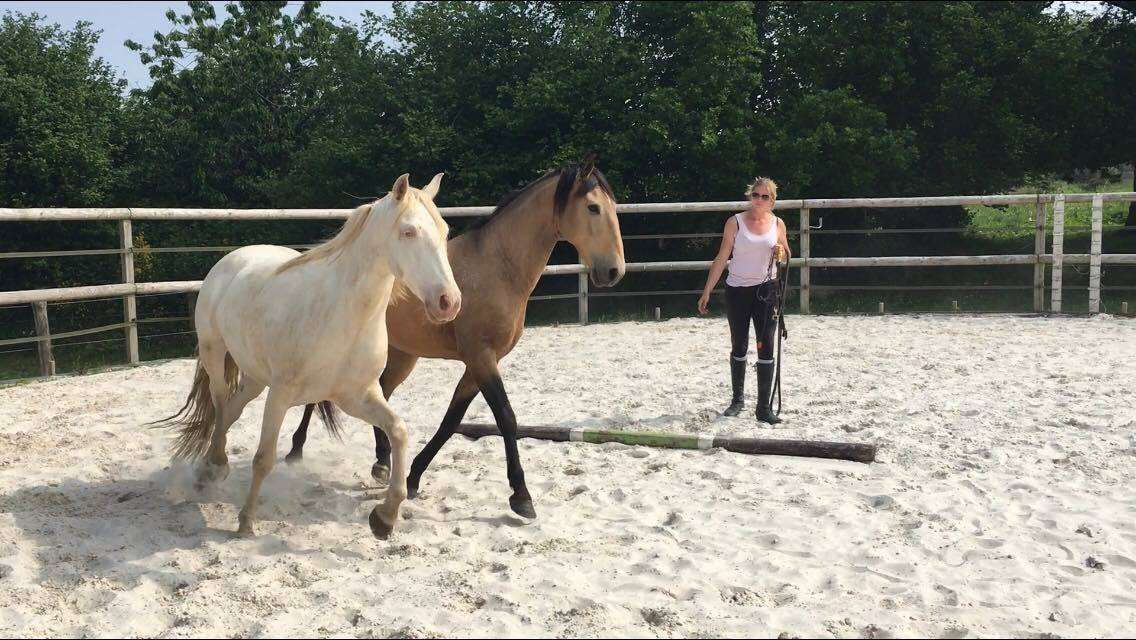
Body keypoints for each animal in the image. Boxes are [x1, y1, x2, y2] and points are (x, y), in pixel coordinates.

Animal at [153, 173, 460, 539]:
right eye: (409, 231)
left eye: (444, 231)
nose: (449, 302)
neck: (343, 316)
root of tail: (233, 258)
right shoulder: (281, 395)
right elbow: (263, 458)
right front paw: (245, 522)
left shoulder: (357, 397)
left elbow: (398, 431)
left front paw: (384, 517)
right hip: (216, 355)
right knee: (219, 404)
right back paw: (211, 468)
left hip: (255, 378)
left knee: (231, 409)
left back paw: (213, 467)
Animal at [285, 157, 625, 519]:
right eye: (592, 207)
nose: (614, 271)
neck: (497, 267)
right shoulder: (481, 357)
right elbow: (506, 417)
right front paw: (521, 496)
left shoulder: (478, 364)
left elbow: (451, 421)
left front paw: (414, 477)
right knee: (316, 398)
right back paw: (296, 450)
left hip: (401, 356)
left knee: (382, 396)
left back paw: (382, 462)